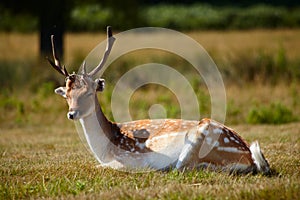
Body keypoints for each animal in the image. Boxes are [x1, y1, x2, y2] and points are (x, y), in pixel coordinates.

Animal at [47, 26, 270, 173]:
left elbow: (103, 166)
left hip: (201, 139)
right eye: (67, 96)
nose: (72, 113)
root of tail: (251, 158)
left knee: (185, 167)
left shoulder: (129, 158)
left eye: (88, 93)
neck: (106, 148)